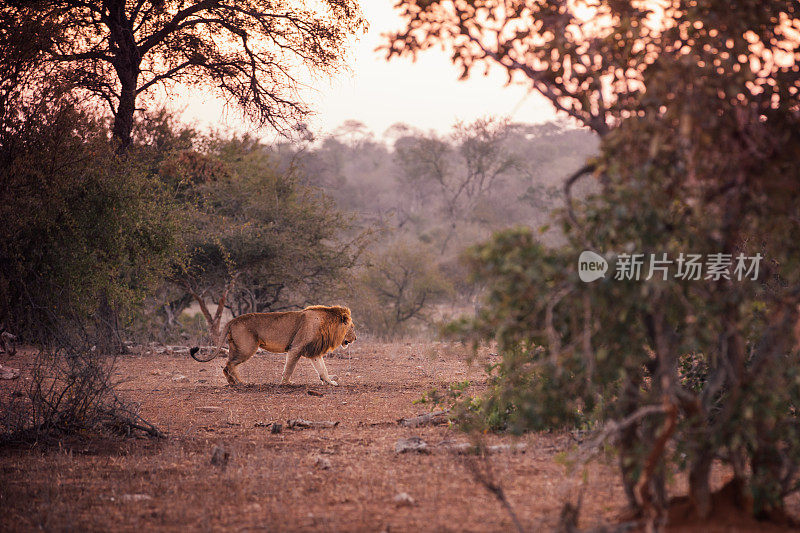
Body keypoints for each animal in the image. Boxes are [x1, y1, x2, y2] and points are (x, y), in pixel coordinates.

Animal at [189, 304, 354, 386]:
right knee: (230, 364)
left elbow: (322, 369)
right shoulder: (296, 347)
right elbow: (289, 368)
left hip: (236, 347)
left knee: (226, 366)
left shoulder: (314, 351)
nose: (356, 338)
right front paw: (286, 383)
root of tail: (232, 320)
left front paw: (330, 382)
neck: (327, 324)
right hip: (247, 348)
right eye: (352, 327)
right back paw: (241, 383)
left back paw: (232, 382)